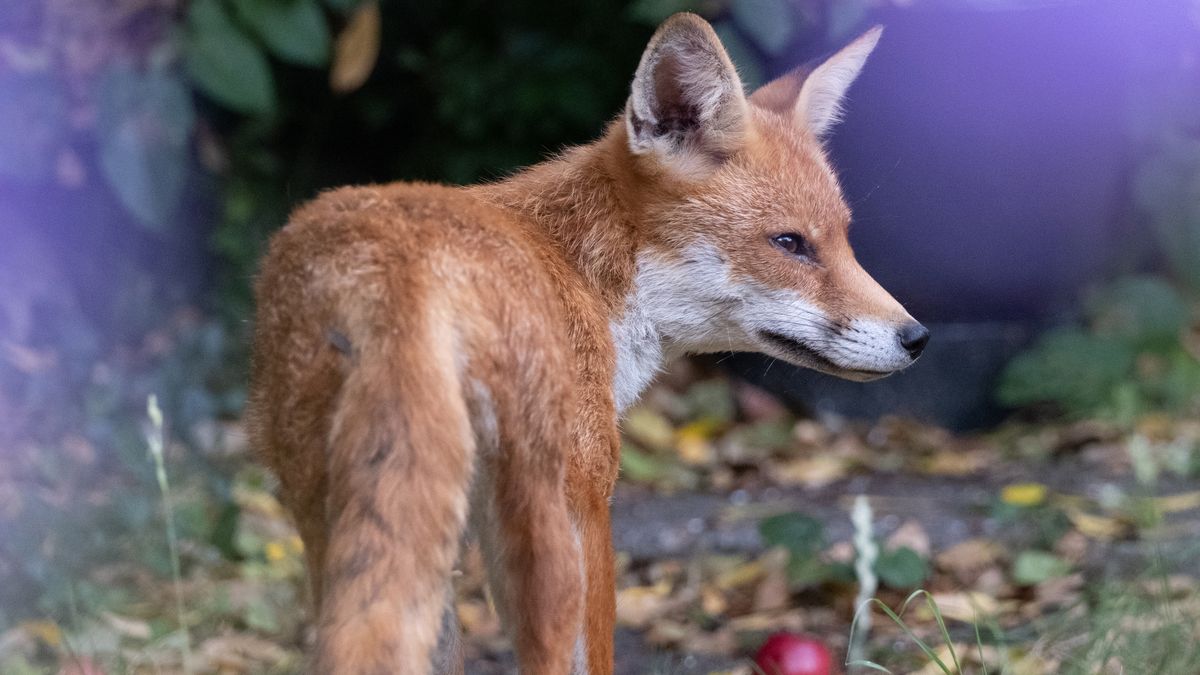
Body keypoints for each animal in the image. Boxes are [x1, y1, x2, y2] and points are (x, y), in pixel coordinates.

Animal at [247, 12, 927, 675]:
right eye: (789, 243)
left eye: (844, 239)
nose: (917, 338)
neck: (582, 270)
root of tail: (403, 276)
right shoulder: (591, 497)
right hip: (538, 537)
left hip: (340, 522)